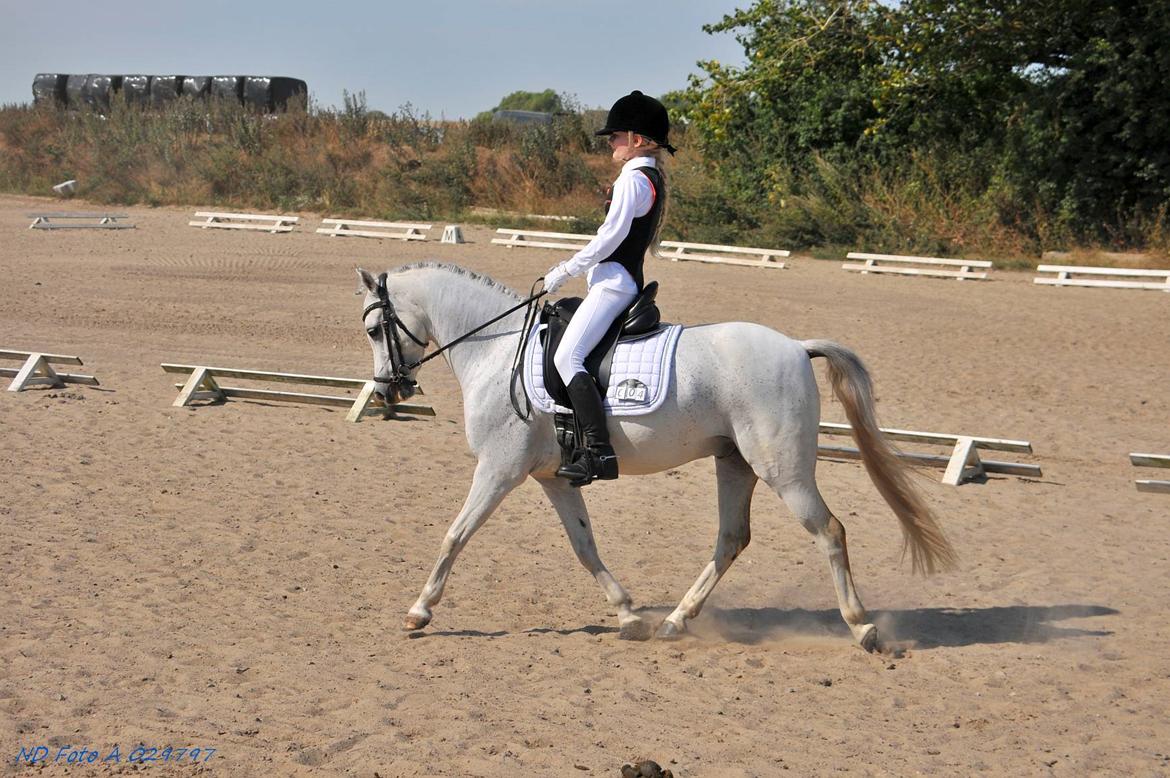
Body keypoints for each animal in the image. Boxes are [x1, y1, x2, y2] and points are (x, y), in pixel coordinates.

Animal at [357, 263, 956, 650]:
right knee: (731, 539)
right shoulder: (555, 478)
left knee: (829, 531)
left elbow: (455, 535)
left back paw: (863, 627)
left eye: (374, 328)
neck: (499, 348)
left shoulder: (499, 470)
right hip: (734, 464)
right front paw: (628, 614)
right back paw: (674, 621)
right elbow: (585, 547)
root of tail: (796, 346)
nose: (387, 392)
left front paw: (419, 612)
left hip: (782, 470)